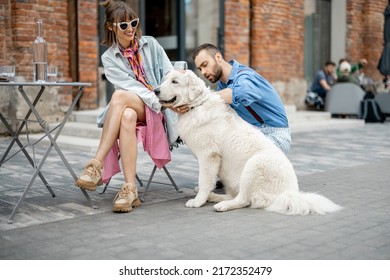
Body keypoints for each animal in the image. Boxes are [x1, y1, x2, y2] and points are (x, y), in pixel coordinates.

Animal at [154, 70, 342, 214]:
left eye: (175, 81)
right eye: (164, 80)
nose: (155, 90)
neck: (197, 106)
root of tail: (289, 193)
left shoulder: (208, 156)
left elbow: (204, 180)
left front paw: (198, 200)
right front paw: (203, 195)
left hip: (254, 165)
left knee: (244, 199)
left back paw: (221, 205)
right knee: (234, 195)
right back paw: (214, 197)